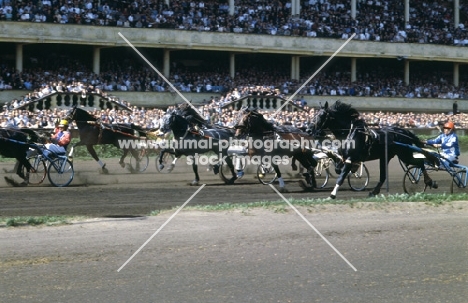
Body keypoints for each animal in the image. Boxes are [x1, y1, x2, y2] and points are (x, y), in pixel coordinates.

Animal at [308, 100, 438, 200]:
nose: (309, 129)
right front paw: (354, 170)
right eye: (314, 115)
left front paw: (332, 194)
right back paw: (374, 191)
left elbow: (341, 176)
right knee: (383, 176)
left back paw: (430, 182)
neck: (349, 133)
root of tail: (404, 131)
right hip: (386, 157)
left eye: (321, 115)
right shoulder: (343, 157)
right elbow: (338, 169)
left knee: (420, 162)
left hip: (404, 154)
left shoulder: (350, 158)